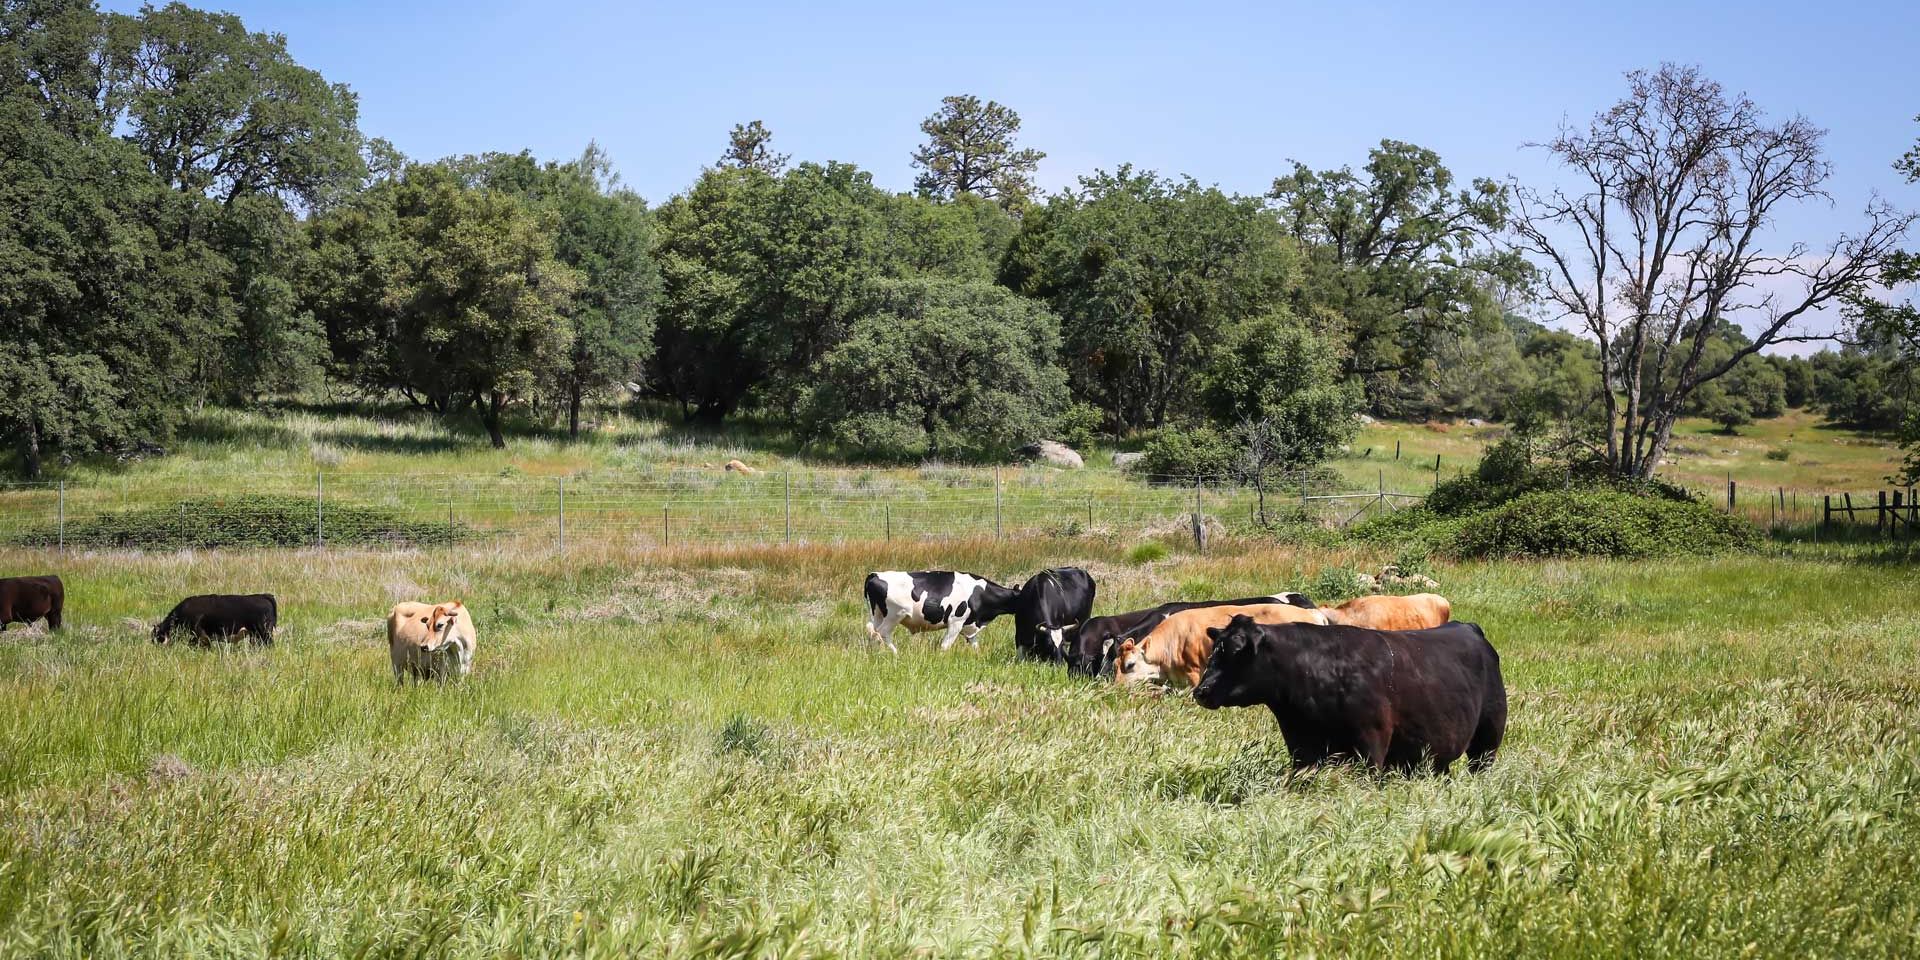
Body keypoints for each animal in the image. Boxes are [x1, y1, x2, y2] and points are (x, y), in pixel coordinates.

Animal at [863, 571, 1020, 654]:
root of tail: (874, 574)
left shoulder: (969, 625)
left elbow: (975, 645)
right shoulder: (956, 622)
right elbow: (945, 646)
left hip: (877, 614)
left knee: (873, 631)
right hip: (895, 614)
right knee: (883, 632)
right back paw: (896, 654)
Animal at [1193, 615, 1507, 774]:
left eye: (1237, 651)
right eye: (1214, 650)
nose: (1201, 690)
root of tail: (1467, 627)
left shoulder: (1371, 743)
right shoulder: (1301, 746)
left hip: (1488, 738)